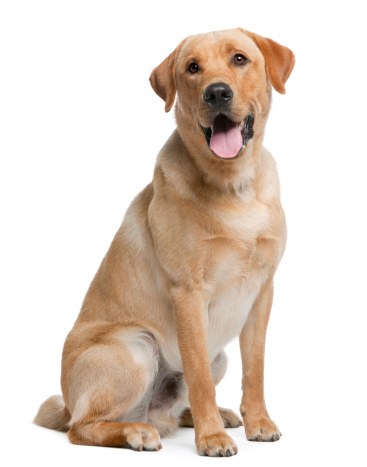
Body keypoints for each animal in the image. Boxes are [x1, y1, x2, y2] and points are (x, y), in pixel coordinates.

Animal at [34, 28, 296, 458]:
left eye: (240, 59)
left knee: (169, 410)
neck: (233, 187)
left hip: (218, 356)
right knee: (82, 427)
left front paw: (258, 422)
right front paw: (211, 439)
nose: (217, 93)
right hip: (135, 347)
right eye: (192, 68)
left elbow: (254, 369)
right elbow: (200, 377)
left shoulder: (262, 292)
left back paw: (206, 416)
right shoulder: (188, 294)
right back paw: (136, 432)